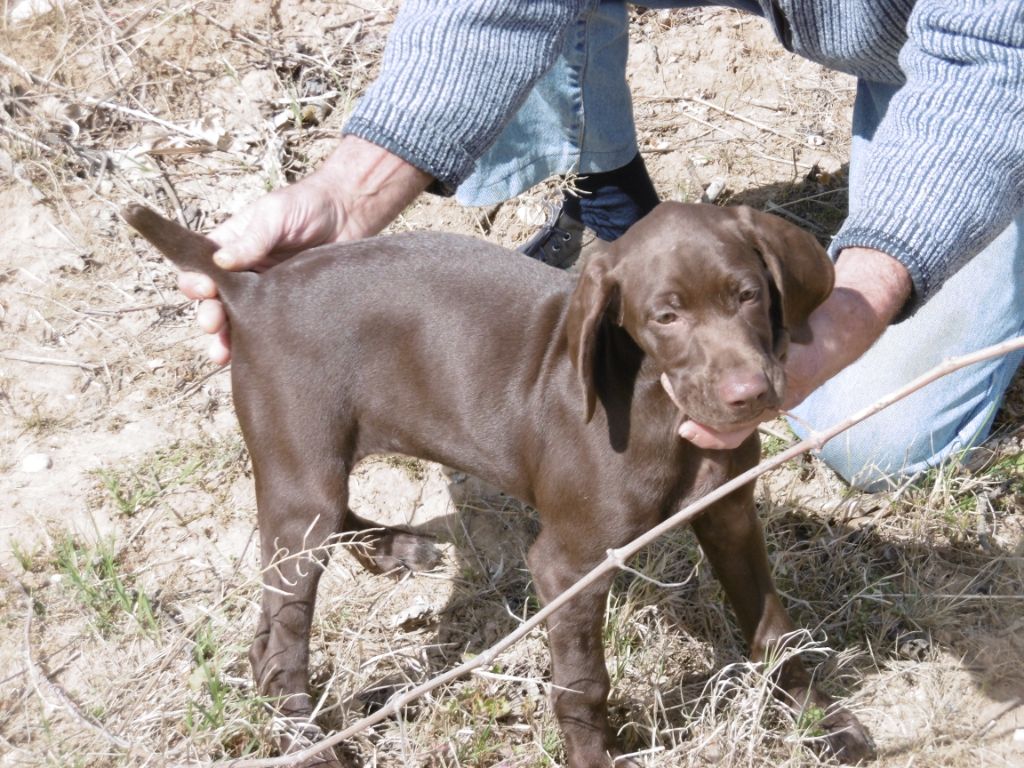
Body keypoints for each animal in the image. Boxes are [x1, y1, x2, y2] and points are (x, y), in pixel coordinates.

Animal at [121, 201, 872, 765]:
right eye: (667, 316)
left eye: (747, 295)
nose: (749, 395)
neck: (656, 402)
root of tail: (253, 289)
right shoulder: (568, 563)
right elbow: (583, 683)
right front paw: (593, 758)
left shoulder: (729, 515)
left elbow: (773, 629)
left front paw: (822, 724)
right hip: (302, 467)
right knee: (278, 641)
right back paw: (312, 745)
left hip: (305, 476)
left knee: (297, 577)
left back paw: (392, 550)